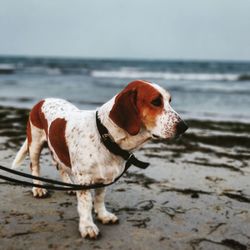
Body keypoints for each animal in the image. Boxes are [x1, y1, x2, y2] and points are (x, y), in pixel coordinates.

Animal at [11, 79, 188, 238]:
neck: (104, 134)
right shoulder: (84, 180)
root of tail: (42, 101)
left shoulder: (105, 178)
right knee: (35, 167)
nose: (184, 127)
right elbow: (85, 204)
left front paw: (103, 215)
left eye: (169, 100)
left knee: (61, 166)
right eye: (156, 101)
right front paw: (87, 226)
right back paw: (38, 189)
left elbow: (99, 198)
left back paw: (68, 184)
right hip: (35, 144)